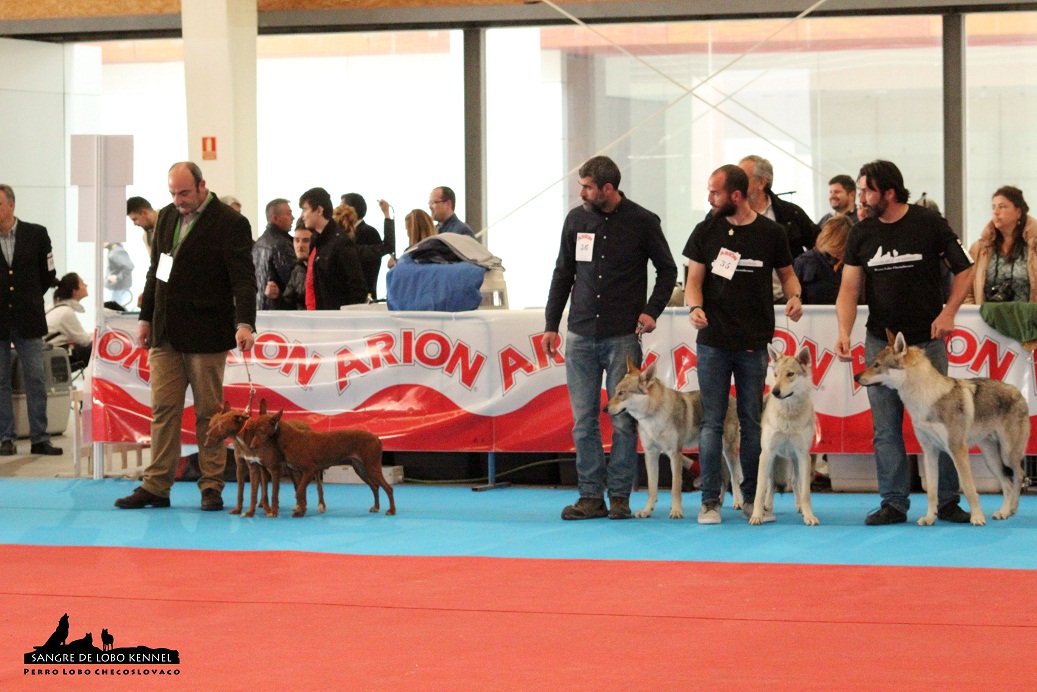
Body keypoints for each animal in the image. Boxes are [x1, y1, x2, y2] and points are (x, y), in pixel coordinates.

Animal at [240, 402, 394, 516]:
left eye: (261, 431)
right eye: (252, 430)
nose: (251, 446)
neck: (288, 439)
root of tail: (377, 438)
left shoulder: (310, 469)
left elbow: (299, 492)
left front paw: (300, 511)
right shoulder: (297, 471)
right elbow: (300, 493)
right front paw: (301, 510)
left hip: (372, 467)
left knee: (388, 488)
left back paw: (392, 510)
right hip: (360, 468)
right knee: (375, 486)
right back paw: (376, 507)